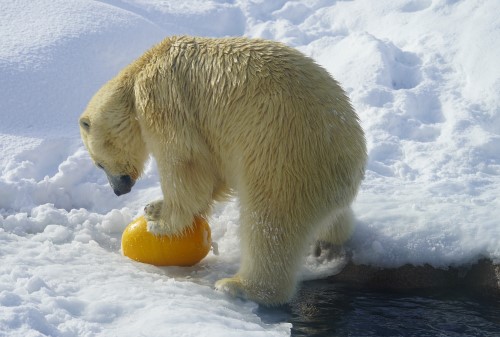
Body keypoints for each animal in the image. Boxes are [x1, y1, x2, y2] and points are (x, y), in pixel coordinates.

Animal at [79, 36, 368, 304]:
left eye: (99, 163)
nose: (119, 190)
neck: (138, 73)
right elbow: (212, 173)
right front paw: (154, 207)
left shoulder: (163, 99)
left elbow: (186, 163)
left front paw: (161, 224)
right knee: (329, 216)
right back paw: (329, 241)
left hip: (283, 158)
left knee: (270, 225)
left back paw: (238, 286)